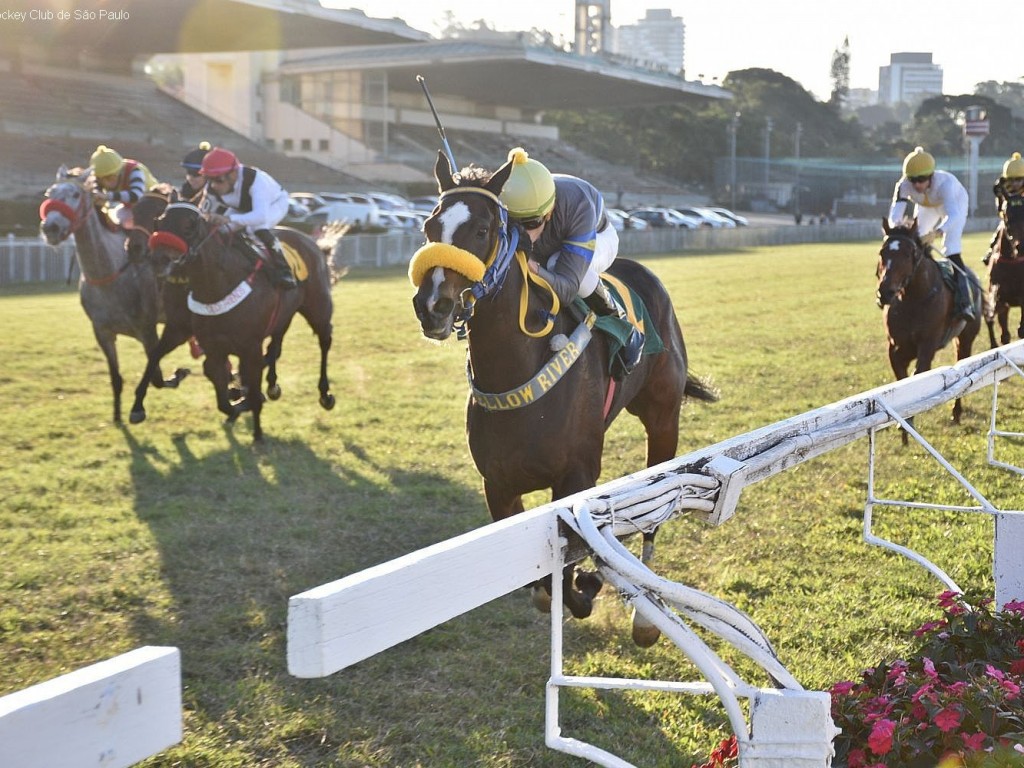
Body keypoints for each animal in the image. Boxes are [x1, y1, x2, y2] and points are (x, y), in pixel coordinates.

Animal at [39, 164, 188, 423]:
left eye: (75, 194)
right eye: (50, 193)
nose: (51, 228)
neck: (109, 275)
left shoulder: (147, 330)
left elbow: (157, 376)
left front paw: (175, 376)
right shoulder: (103, 332)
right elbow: (116, 378)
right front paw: (117, 416)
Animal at [147, 198, 335, 442]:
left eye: (189, 225)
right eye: (159, 221)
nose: (159, 260)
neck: (217, 287)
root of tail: (312, 243)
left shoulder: (250, 347)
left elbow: (250, 385)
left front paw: (257, 433)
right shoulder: (214, 348)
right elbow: (222, 396)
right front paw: (237, 405)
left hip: (318, 309)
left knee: (324, 341)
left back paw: (325, 394)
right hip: (283, 315)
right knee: (275, 347)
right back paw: (271, 386)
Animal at [411, 153, 716, 647]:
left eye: (482, 230)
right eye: (429, 226)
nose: (432, 304)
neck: (517, 370)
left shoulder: (576, 475)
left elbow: (567, 573)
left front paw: (590, 585)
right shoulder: (498, 485)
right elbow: (541, 586)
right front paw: (587, 580)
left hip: (663, 417)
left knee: (656, 508)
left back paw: (645, 619)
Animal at [872, 219, 983, 434]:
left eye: (908, 254)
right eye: (882, 252)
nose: (885, 292)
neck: (913, 299)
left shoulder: (927, 345)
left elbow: (918, 375)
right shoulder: (896, 347)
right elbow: (902, 379)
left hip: (966, 337)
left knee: (963, 364)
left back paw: (956, 412)